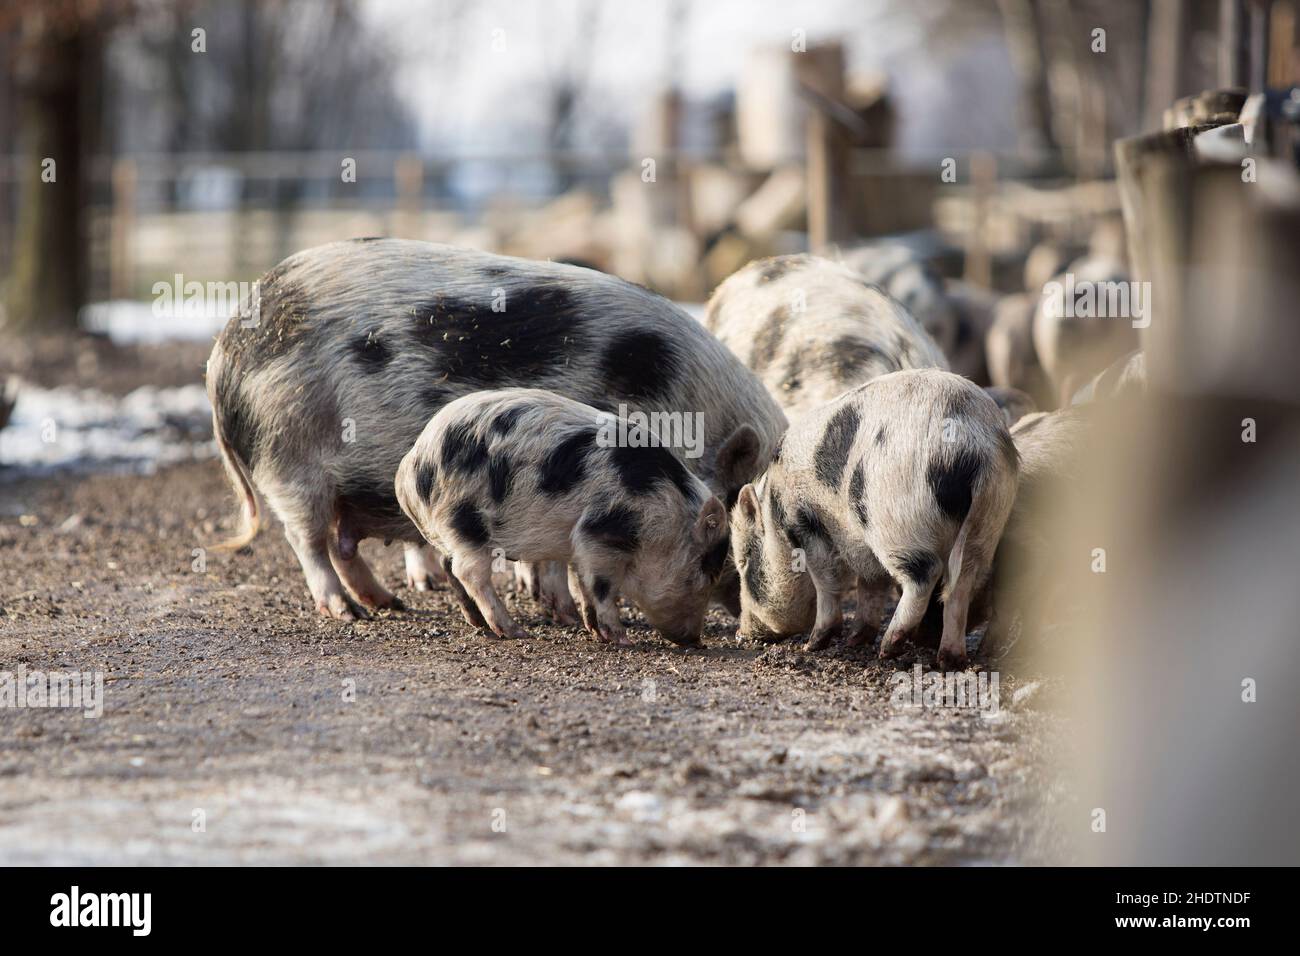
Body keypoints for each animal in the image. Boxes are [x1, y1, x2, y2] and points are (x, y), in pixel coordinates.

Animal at [395, 388, 730, 646]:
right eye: (707, 572)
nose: (696, 641)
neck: (666, 519)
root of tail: (411, 465)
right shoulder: (602, 531)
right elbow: (601, 586)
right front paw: (622, 639)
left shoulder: (581, 545)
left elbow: (581, 584)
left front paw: (592, 630)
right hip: (467, 523)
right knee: (469, 573)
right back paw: (514, 632)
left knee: (448, 565)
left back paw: (478, 623)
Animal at [729, 369, 1019, 670]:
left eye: (744, 561)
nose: (740, 633)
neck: (774, 507)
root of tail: (974, 445)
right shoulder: (859, 544)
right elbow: (870, 584)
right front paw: (854, 640)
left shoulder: (805, 522)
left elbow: (827, 582)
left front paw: (813, 645)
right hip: (988, 515)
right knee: (961, 582)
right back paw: (950, 660)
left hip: (895, 520)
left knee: (925, 574)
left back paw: (888, 649)